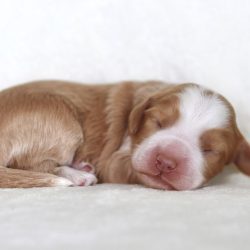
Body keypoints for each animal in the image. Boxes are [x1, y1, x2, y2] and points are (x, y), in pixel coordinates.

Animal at [0, 80, 248, 189]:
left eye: (209, 149)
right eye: (158, 122)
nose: (166, 162)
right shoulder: (114, 162)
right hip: (62, 124)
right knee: (33, 165)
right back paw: (78, 175)